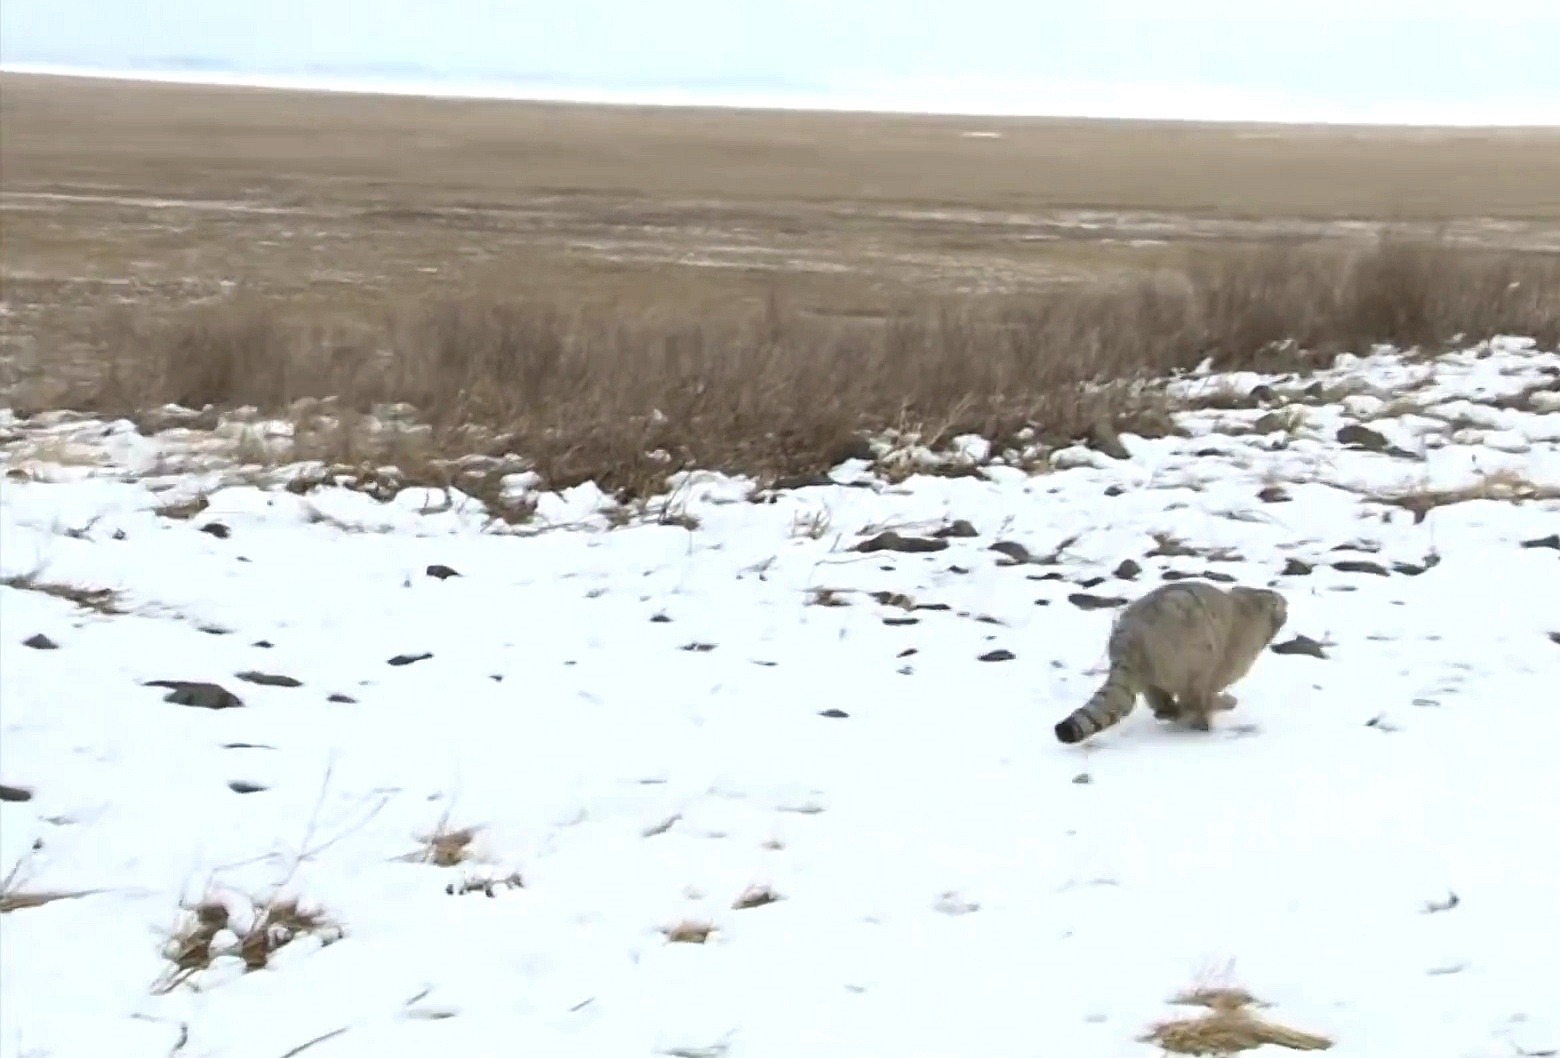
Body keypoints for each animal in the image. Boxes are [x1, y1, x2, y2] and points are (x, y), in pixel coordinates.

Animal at [1054, 583, 1285, 749]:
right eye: (1279, 602)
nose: (1287, 601)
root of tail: (1130, 638)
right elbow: (1209, 691)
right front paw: (1224, 701)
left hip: (1156, 673)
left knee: (1160, 701)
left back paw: (1171, 712)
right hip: (1195, 659)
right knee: (1192, 700)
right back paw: (1207, 717)